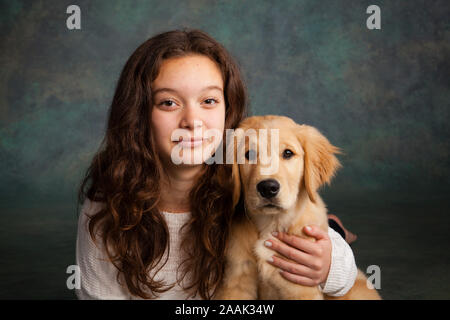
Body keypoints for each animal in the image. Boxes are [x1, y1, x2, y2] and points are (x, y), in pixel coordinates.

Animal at [214, 115, 380, 300]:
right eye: (249, 154)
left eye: (288, 153)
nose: (268, 188)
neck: (271, 224)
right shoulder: (236, 281)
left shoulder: (300, 286)